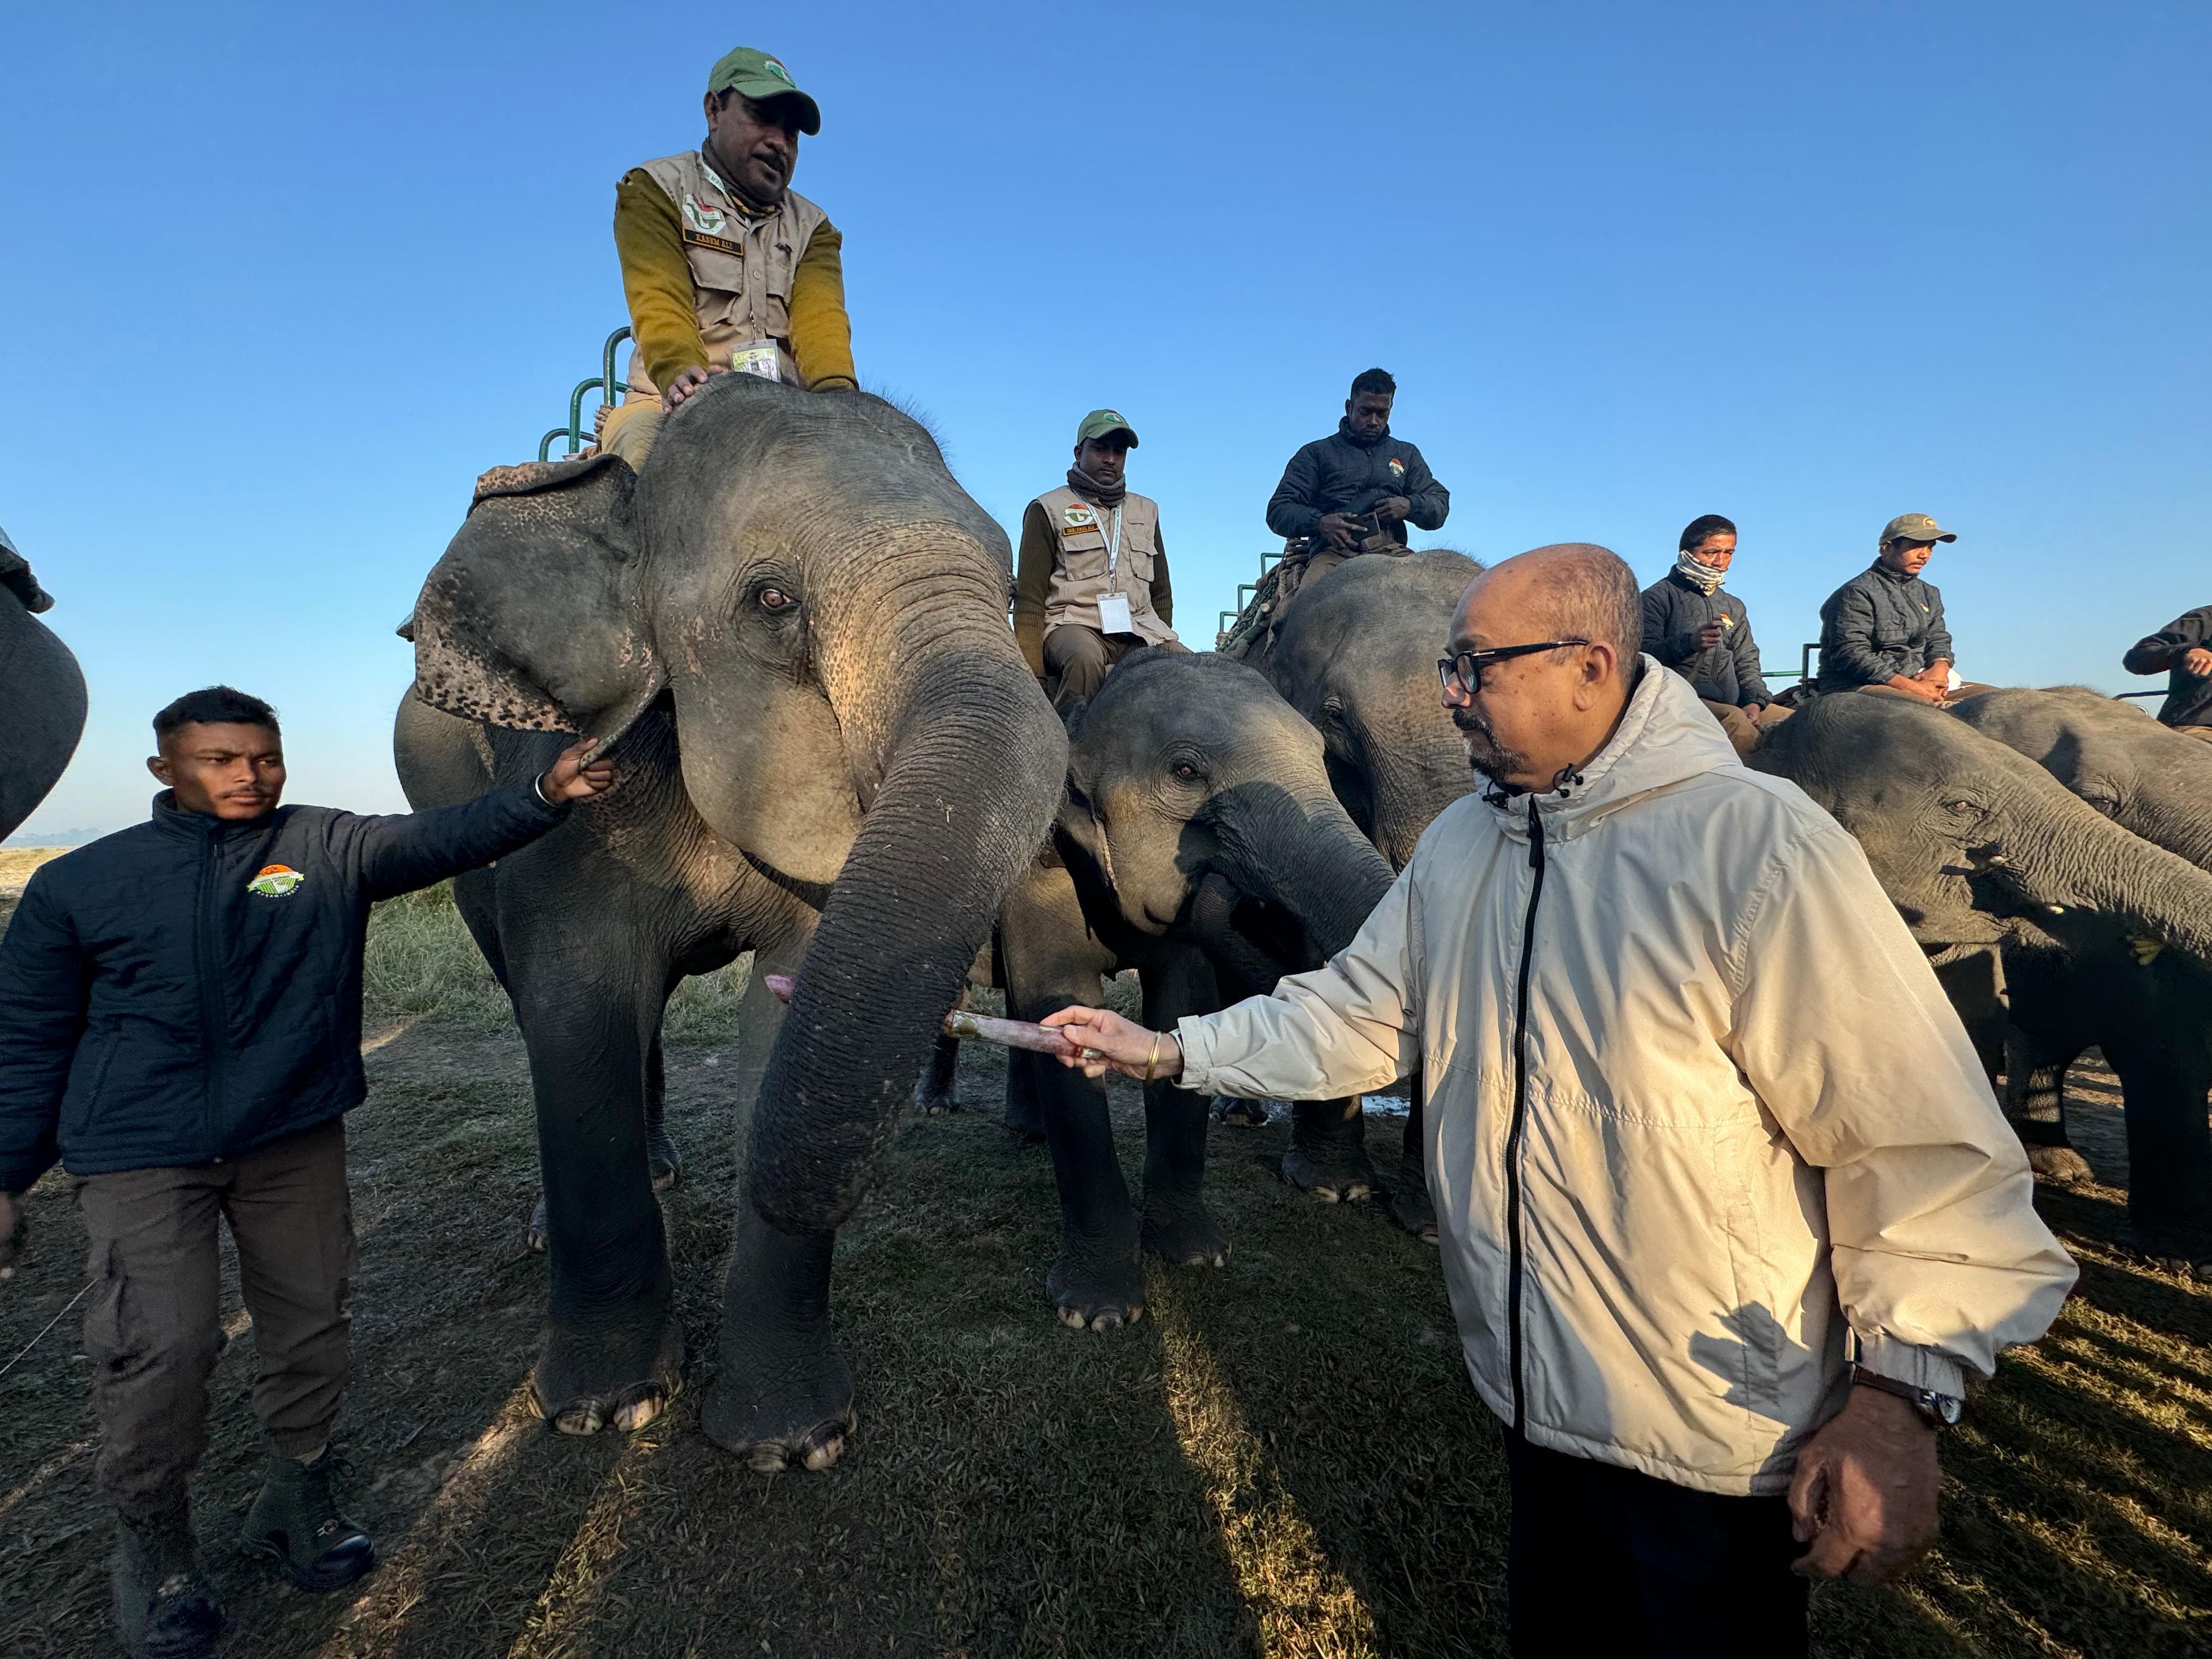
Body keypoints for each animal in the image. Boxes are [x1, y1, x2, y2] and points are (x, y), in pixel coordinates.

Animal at [400, 382, 1070, 1477]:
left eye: (1009, 572)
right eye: (771, 601)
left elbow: (782, 1009)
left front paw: (792, 1444)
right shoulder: (564, 786)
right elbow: (577, 1007)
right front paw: (603, 1411)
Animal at [995, 654, 1389, 1336]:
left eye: (1322, 755)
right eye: (1185, 772)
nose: (1227, 893)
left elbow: (1182, 1006)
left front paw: (1198, 1257)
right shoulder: (1038, 877)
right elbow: (1053, 1004)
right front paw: (1098, 1314)